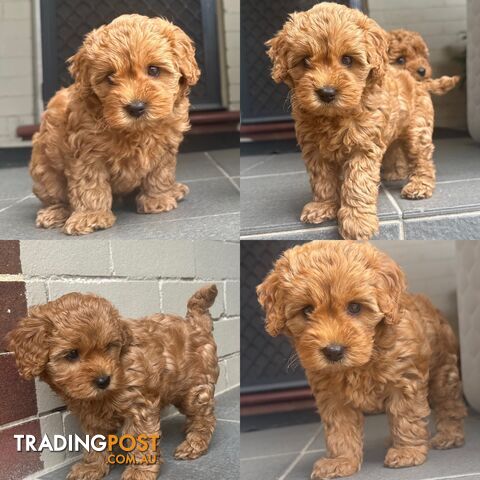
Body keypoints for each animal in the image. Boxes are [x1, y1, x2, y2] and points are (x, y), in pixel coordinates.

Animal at [8, 286, 218, 478]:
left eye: (109, 346)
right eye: (72, 354)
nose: (103, 380)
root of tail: (196, 323)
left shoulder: (140, 407)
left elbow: (141, 438)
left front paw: (139, 471)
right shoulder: (91, 416)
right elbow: (95, 441)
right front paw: (93, 467)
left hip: (194, 389)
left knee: (204, 417)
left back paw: (194, 443)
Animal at [29, 16, 199, 236]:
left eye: (153, 70)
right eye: (110, 76)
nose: (136, 107)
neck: (137, 131)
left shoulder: (166, 146)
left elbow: (160, 172)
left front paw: (158, 199)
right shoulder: (86, 153)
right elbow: (90, 184)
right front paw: (90, 216)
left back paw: (174, 189)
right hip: (44, 170)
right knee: (55, 196)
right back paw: (55, 213)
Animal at [256, 240, 466, 480]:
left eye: (355, 307)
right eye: (307, 310)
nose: (333, 351)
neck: (362, 361)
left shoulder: (404, 381)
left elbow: (406, 416)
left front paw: (407, 452)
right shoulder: (332, 398)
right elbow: (340, 430)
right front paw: (340, 461)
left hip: (443, 370)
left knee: (449, 404)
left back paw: (449, 435)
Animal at [266, 1, 438, 238]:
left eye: (347, 59)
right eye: (306, 60)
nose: (326, 93)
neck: (334, 116)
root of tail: (417, 81)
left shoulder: (363, 146)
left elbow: (357, 182)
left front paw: (357, 222)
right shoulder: (314, 150)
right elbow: (321, 180)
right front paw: (323, 206)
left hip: (416, 130)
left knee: (421, 158)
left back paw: (419, 185)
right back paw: (394, 174)